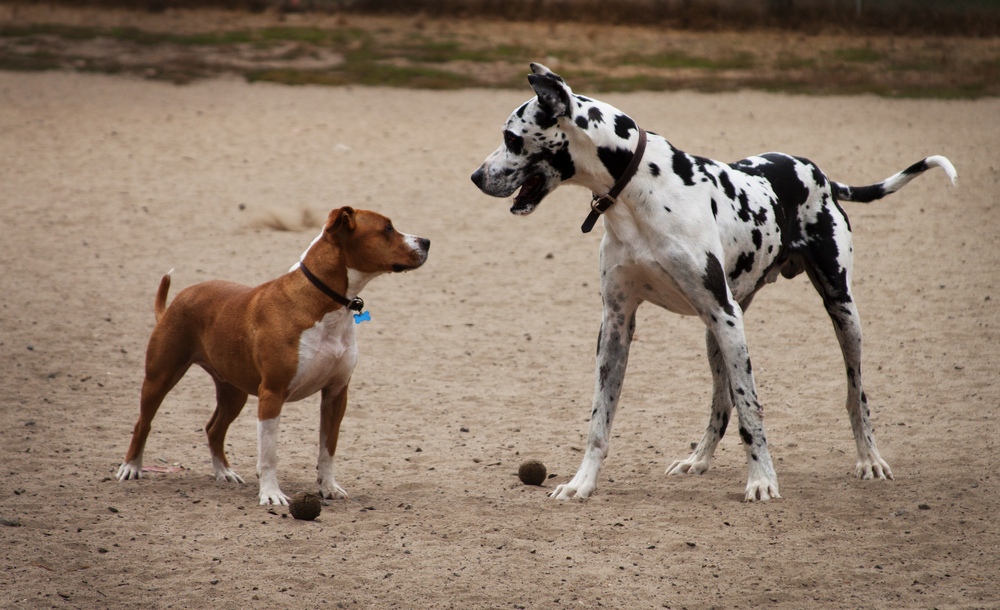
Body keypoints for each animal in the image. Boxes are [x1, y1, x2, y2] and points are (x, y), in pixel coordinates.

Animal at [116, 207, 430, 505]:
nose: (426, 241)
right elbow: (269, 455)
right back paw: (131, 467)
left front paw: (328, 487)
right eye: (387, 228)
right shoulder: (272, 395)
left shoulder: (336, 394)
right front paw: (271, 494)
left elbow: (328, 448)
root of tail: (177, 300)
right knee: (143, 423)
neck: (323, 304)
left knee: (214, 429)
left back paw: (223, 472)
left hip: (234, 391)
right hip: (160, 376)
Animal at [471, 63, 956, 501]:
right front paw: (582, 483)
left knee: (855, 396)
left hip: (839, 315)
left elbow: (751, 410)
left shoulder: (726, 317)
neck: (639, 192)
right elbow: (599, 421)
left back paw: (869, 458)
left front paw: (762, 481)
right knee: (720, 406)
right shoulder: (617, 326)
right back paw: (697, 459)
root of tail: (817, 172)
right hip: (715, 334)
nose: (476, 177)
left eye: (511, 137)